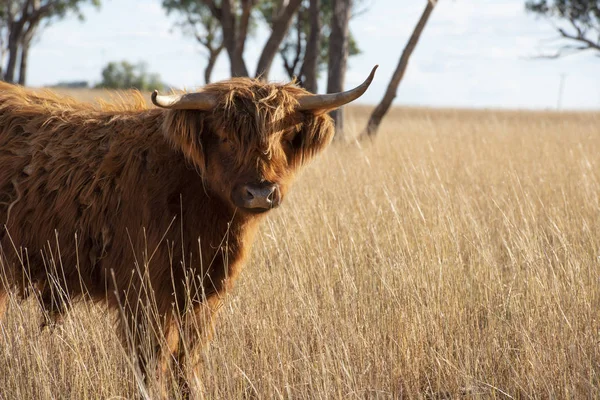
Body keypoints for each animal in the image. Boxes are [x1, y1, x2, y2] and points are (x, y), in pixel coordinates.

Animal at [0, 67, 378, 390]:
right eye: (224, 137)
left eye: (284, 136)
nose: (260, 192)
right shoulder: (144, 290)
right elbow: (152, 361)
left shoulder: (203, 292)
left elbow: (188, 357)